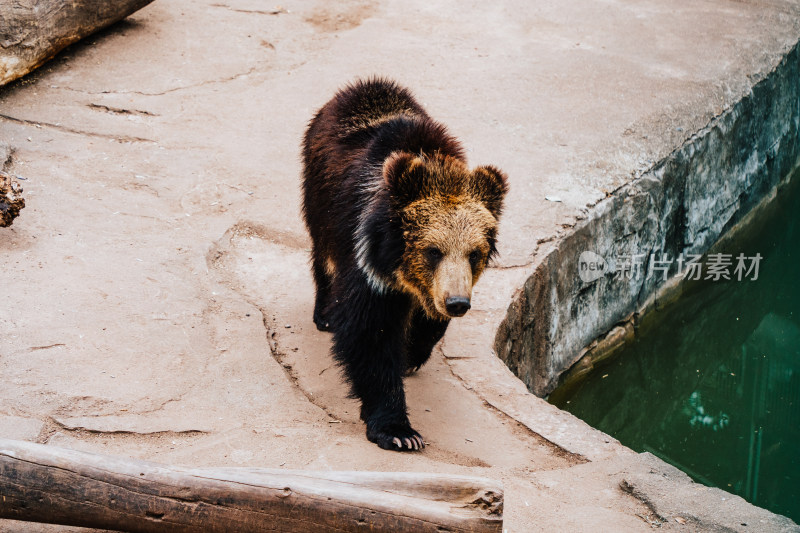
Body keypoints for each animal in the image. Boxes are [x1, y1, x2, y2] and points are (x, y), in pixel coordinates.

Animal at [300, 77, 506, 448]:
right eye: (433, 250)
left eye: (474, 253)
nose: (457, 303)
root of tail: (359, 87)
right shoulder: (367, 262)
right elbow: (370, 334)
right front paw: (399, 431)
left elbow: (427, 322)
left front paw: (412, 353)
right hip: (320, 200)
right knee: (324, 254)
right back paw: (324, 313)